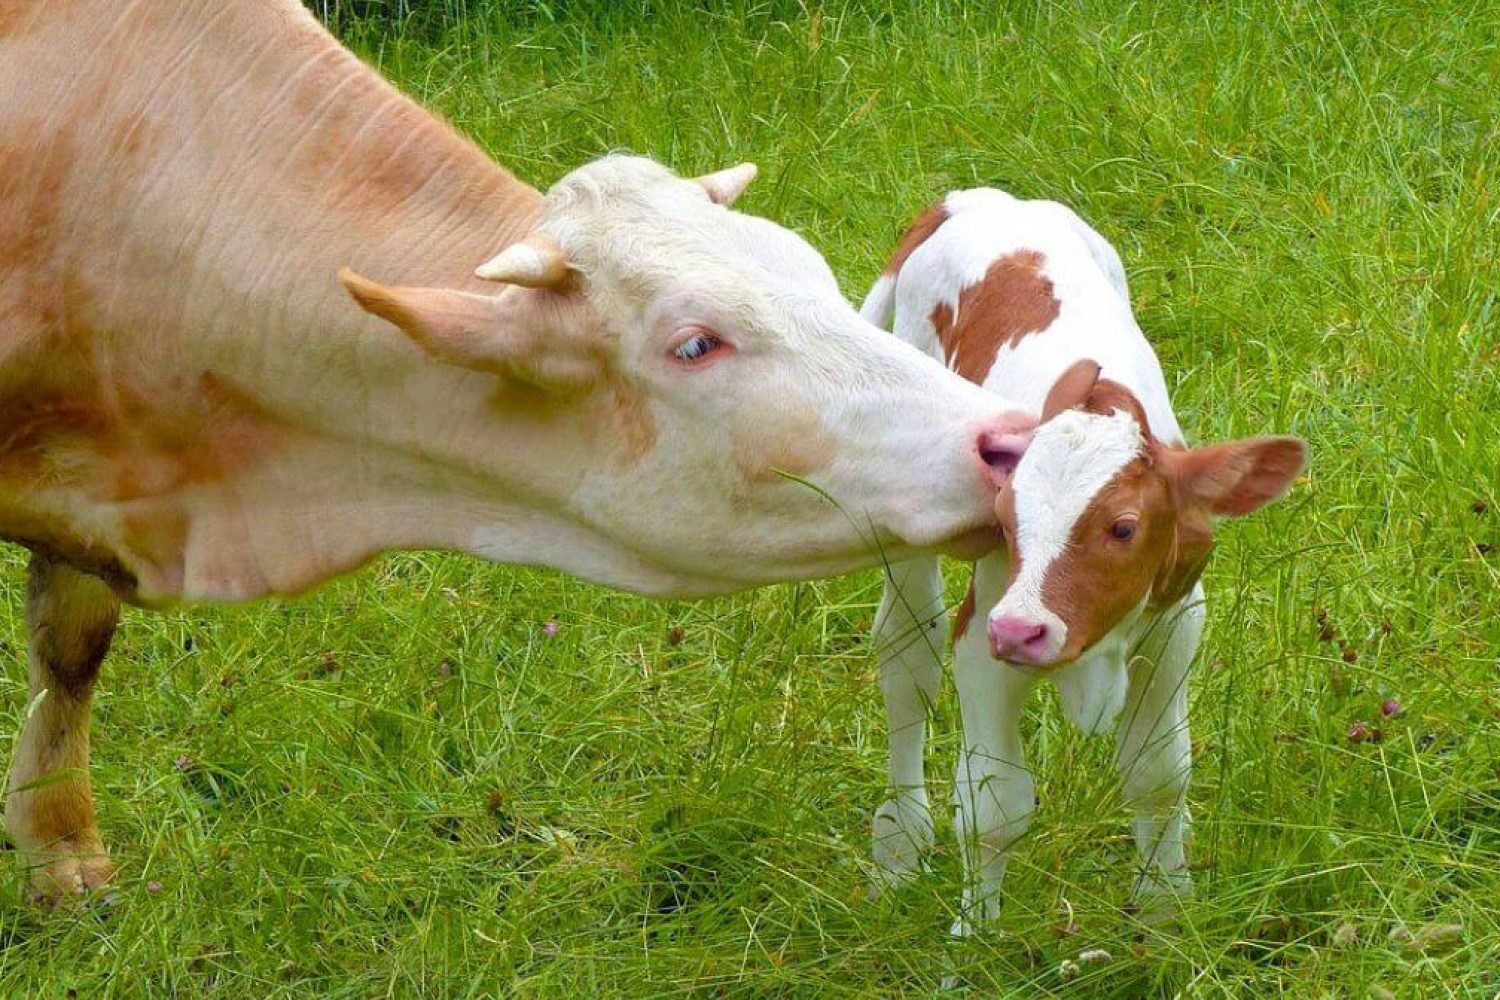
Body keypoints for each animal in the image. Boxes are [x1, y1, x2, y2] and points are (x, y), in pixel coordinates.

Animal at [862, 188, 1305, 934]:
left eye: (1123, 528)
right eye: (1005, 519)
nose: (1022, 631)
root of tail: (973, 198)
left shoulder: (1175, 624)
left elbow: (1158, 776)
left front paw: (1164, 912)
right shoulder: (985, 636)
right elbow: (993, 804)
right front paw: (974, 936)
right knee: (907, 660)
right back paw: (899, 840)